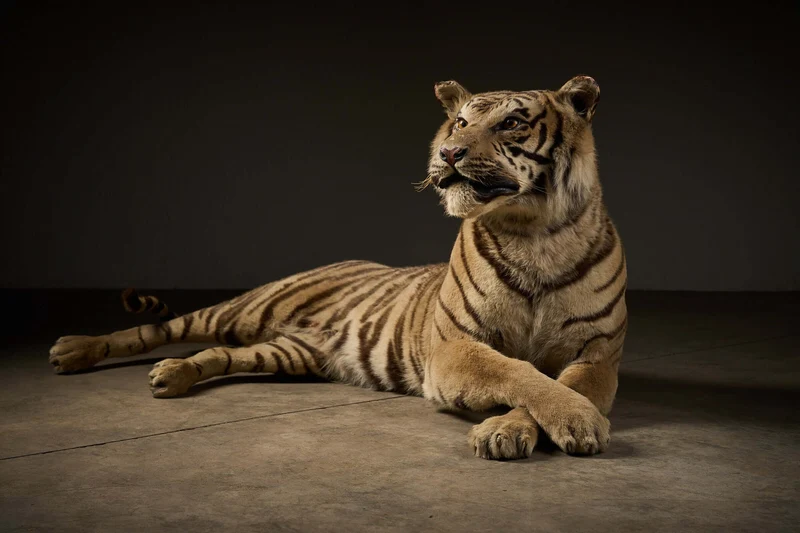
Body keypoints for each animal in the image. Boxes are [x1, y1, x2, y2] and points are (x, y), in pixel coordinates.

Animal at [48, 75, 627, 461]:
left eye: (510, 123)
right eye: (461, 121)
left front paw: (515, 429)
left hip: (288, 352)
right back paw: (74, 351)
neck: (534, 234)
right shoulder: (455, 346)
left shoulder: (596, 355)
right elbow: (518, 372)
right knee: (158, 328)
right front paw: (568, 421)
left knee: (218, 354)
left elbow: (558, 383)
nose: (449, 152)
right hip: (244, 309)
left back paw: (172, 375)